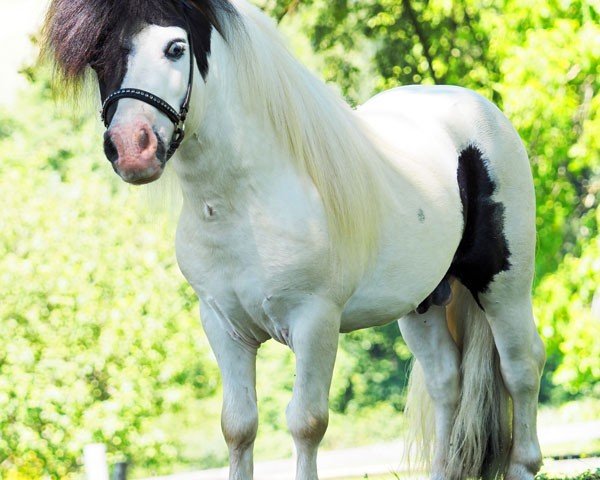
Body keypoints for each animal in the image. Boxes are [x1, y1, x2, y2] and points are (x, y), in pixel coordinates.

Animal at [42, 0, 548, 480]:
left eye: (175, 48)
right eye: (97, 58)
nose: (132, 148)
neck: (243, 203)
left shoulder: (314, 321)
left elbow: (306, 423)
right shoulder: (222, 327)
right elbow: (238, 426)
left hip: (503, 288)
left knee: (521, 367)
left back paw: (524, 462)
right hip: (420, 304)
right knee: (447, 381)